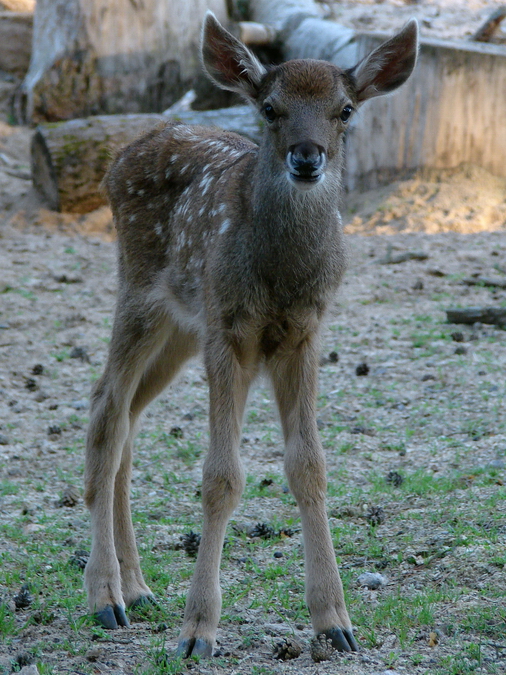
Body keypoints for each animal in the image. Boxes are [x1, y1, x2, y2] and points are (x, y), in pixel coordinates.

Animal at [83, 12, 418, 658]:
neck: (281, 275)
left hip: (181, 325)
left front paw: (335, 622)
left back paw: (139, 588)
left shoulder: (305, 332)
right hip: (141, 291)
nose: (307, 157)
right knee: (107, 407)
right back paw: (106, 598)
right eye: (269, 107)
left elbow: (309, 466)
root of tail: (119, 157)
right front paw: (197, 632)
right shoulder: (230, 330)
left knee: (128, 413)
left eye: (345, 109)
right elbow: (221, 477)